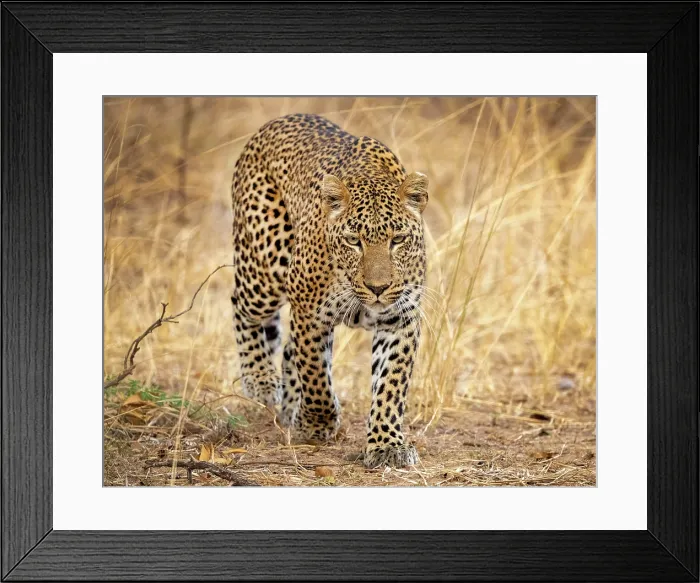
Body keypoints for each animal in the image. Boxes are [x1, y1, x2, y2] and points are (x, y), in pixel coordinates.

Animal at [230, 113, 429, 468]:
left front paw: (386, 445)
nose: (378, 288)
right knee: (243, 307)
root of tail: (274, 123)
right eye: (353, 241)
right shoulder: (310, 312)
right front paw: (317, 423)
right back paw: (261, 380)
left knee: (287, 348)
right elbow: (315, 375)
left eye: (398, 240)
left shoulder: (400, 318)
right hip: (265, 267)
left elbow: (390, 383)